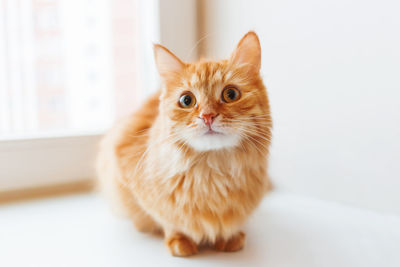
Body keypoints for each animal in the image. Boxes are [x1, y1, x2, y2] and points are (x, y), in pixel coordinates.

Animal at [97, 31, 272, 258]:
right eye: (186, 100)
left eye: (231, 94)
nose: (207, 116)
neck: (211, 175)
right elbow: (168, 221)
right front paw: (180, 240)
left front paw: (229, 237)